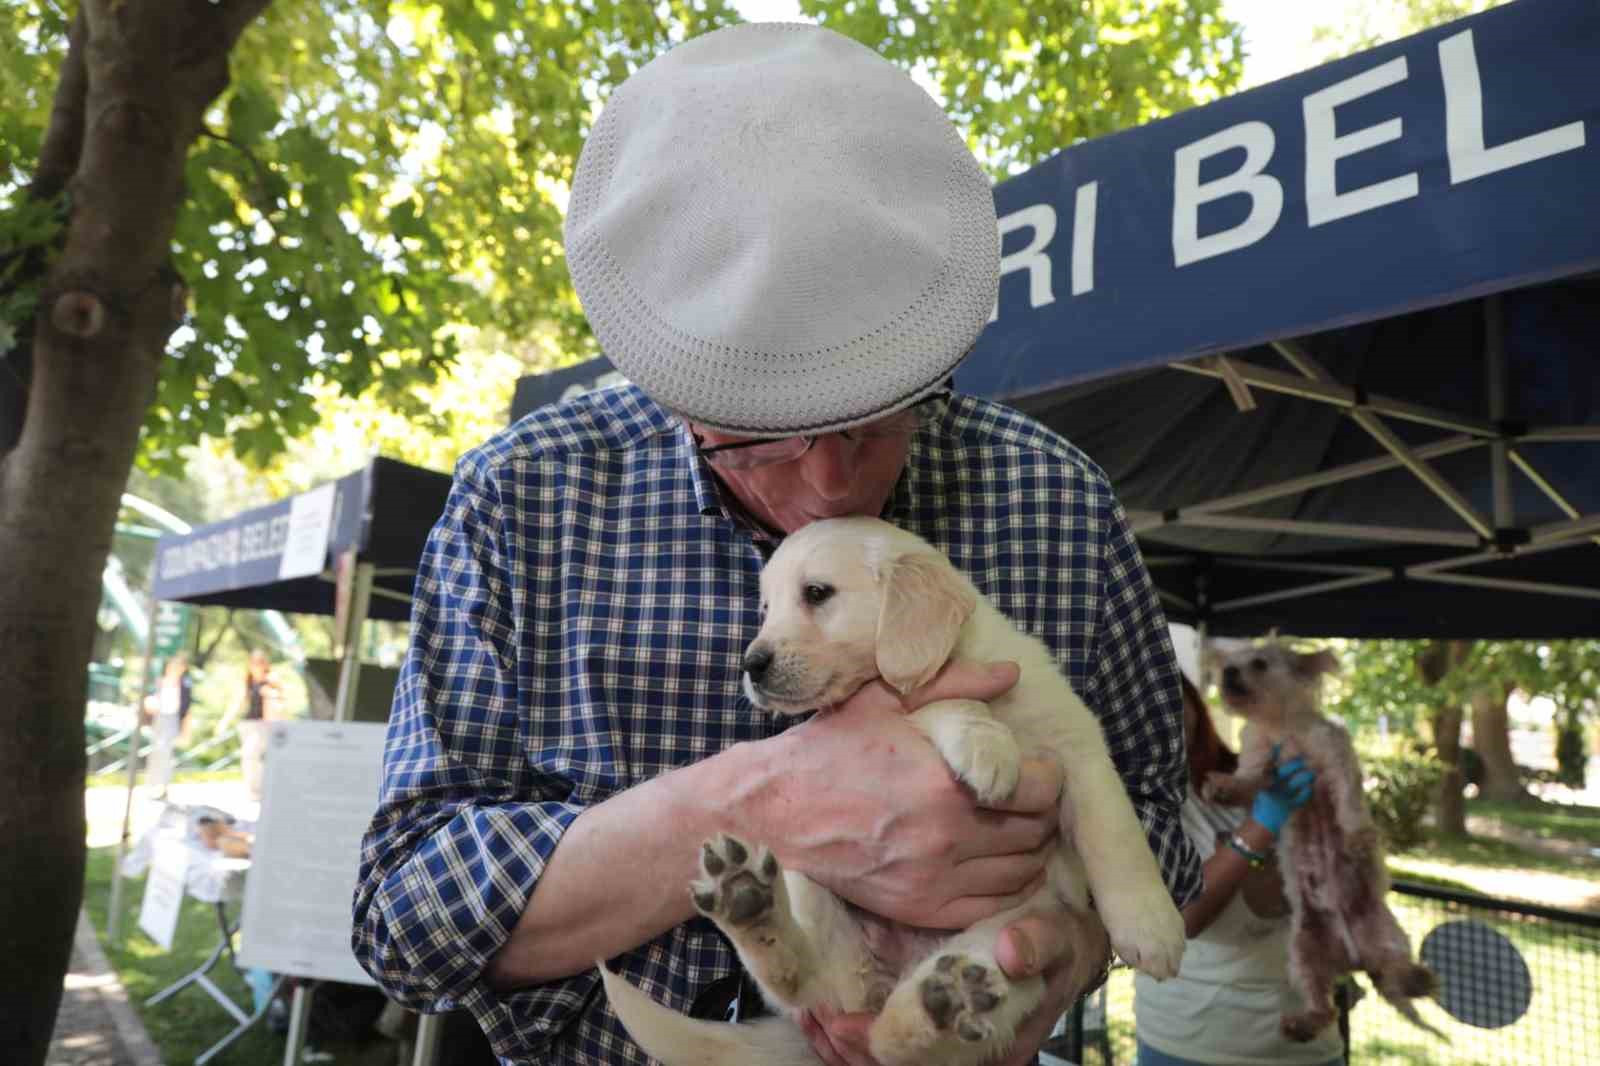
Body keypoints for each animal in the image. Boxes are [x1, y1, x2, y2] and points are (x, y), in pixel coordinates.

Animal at [601, 515, 1190, 1062]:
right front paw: (987, 745)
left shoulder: (1079, 745)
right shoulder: (910, 705)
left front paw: (1153, 927)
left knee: (895, 1037)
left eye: (817, 593)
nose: (751, 664)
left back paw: (942, 1000)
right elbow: (941, 698)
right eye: (765, 609)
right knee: (822, 991)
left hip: (1011, 950)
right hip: (806, 878)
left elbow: (1117, 837)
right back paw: (751, 906)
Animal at [1203, 640, 1446, 1037]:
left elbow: (1348, 803)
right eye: (1230, 663)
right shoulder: (1258, 763)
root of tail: (1354, 958)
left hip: (1390, 935)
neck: (1280, 727)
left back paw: (1415, 980)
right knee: (1326, 1009)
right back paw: (1301, 1023)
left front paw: (1357, 838)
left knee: (1395, 970)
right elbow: (1248, 782)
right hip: (1303, 952)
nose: (1228, 672)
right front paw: (1222, 787)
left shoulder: (1336, 760)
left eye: (1259, 663)